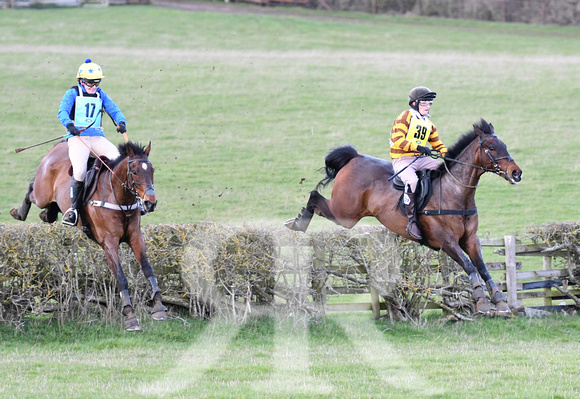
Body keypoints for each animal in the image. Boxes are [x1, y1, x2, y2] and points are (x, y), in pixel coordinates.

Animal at [10, 141, 167, 332]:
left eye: (152, 170)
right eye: (135, 171)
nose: (150, 203)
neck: (119, 197)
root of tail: (58, 145)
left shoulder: (135, 236)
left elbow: (147, 268)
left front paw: (159, 307)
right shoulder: (109, 243)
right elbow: (121, 277)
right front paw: (130, 316)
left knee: (48, 211)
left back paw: (47, 214)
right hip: (42, 194)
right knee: (32, 188)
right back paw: (19, 213)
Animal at [284, 119, 520, 316]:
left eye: (505, 146)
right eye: (491, 148)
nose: (517, 173)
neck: (456, 192)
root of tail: (355, 158)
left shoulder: (470, 240)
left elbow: (483, 268)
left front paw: (500, 301)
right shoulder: (447, 242)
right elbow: (470, 267)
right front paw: (481, 301)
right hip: (345, 214)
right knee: (315, 196)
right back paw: (297, 223)